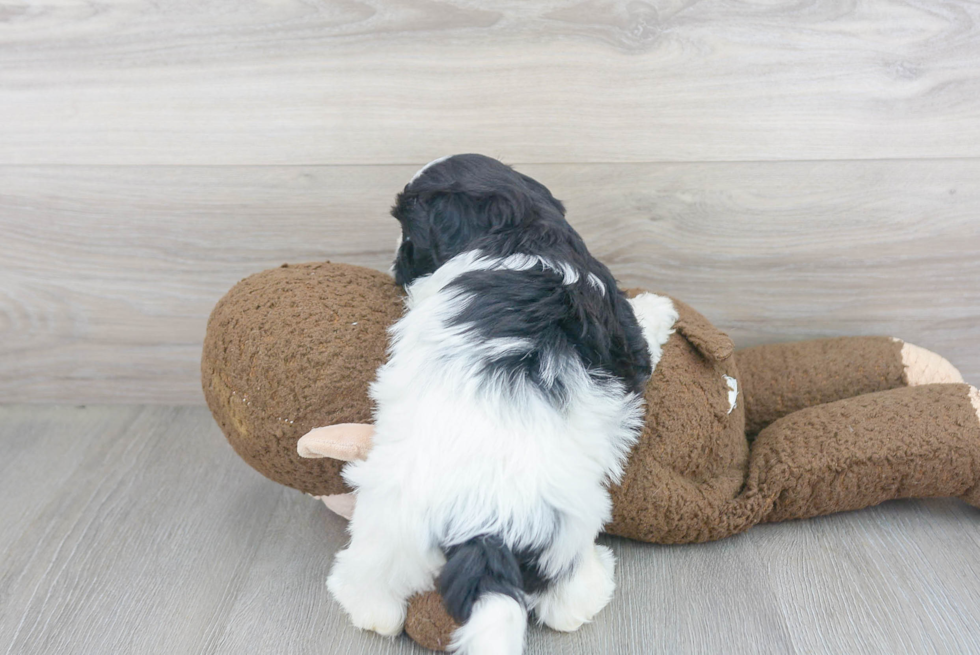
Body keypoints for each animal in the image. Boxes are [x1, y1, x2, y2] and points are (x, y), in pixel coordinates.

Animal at [326, 155, 676, 655]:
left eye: (408, 234)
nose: (396, 260)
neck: (519, 228)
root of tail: (486, 525)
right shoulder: (624, 332)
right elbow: (643, 330)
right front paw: (660, 306)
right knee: (565, 601)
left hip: (398, 524)